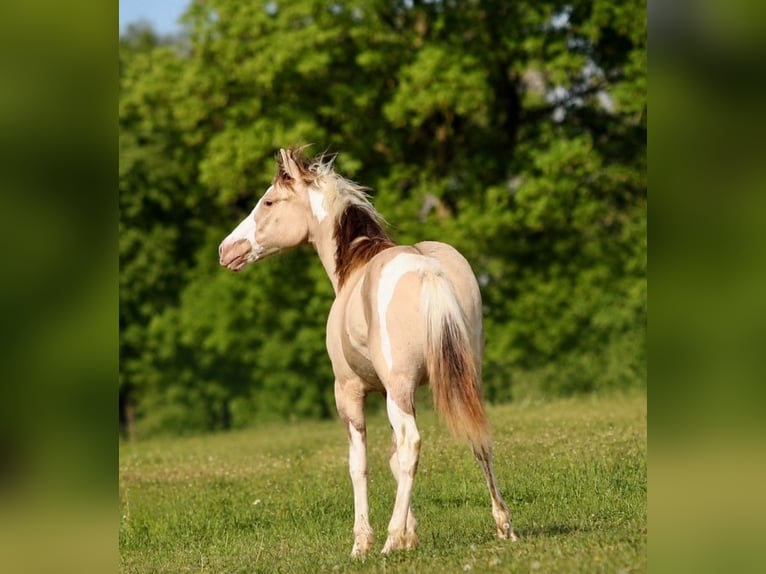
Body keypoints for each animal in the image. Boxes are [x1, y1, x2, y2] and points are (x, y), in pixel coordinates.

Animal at [219, 147, 518, 556]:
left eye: (268, 202)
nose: (226, 250)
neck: (355, 265)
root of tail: (427, 269)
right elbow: (391, 459)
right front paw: (411, 534)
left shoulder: (350, 392)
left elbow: (360, 464)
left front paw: (366, 541)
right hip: (462, 381)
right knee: (479, 439)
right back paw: (503, 526)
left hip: (399, 389)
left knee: (411, 445)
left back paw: (389, 541)